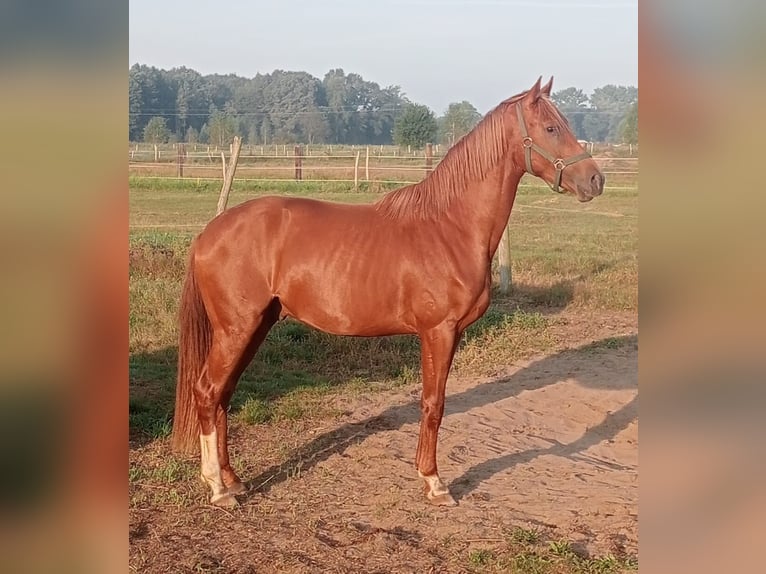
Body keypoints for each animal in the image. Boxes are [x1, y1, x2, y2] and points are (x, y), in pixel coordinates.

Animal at [172, 77, 608, 508]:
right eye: (551, 128)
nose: (595, 179)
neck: (450, 226)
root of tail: (209, 232)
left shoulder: (450, 334)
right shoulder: (438, 332)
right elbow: (433, 404)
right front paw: (434, 482)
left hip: (256, 327)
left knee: (224, 395)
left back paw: (234, 480)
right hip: (236, 329)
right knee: (208, 392)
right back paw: (218, 488)